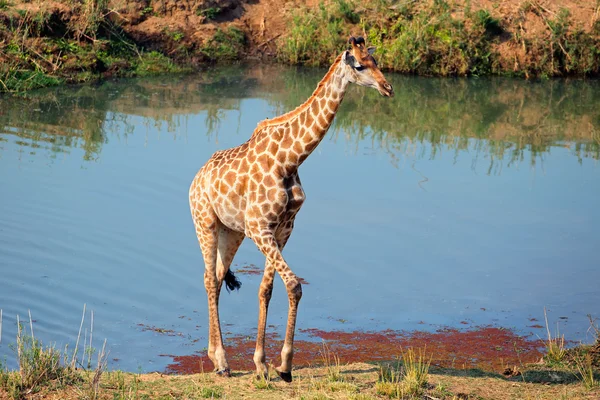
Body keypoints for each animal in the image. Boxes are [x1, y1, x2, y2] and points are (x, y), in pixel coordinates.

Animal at [188, 36, 394, 382]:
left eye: (377, 61)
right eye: (359, 65)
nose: (387, 87)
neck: (290, 159)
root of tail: (196, 178)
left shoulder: (282, 228)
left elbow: (267, 288)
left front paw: (264, 364)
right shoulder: (260, 227)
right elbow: (294, 285)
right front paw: (283, 366)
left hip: (231, 232)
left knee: (215, 276)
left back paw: (217, 358)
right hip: (205, 222)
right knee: (207, 279)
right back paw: (223, 362)